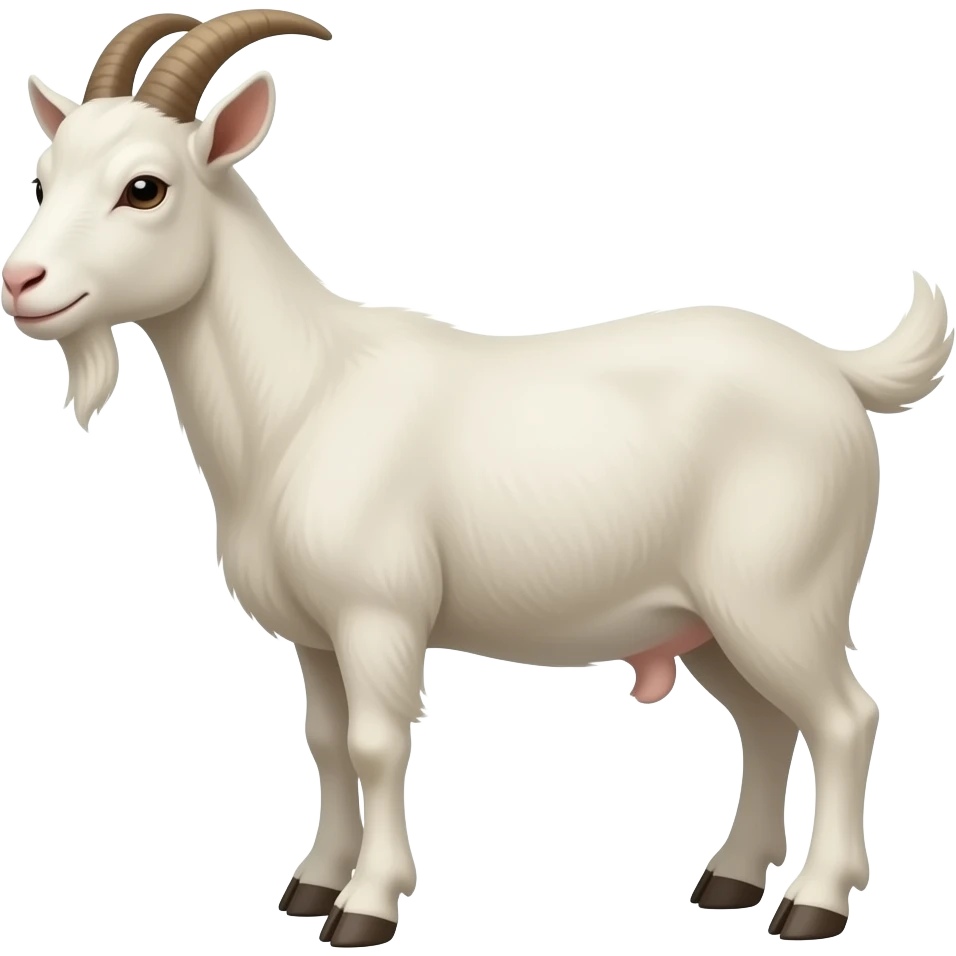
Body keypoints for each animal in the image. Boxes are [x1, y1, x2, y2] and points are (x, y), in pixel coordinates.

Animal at [3, 9, 952, 947]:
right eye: (43, 180)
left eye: (145, 188)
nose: (22, 281)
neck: (304, 394)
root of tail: (836, 371)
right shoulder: (317, 635)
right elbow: (326, 739)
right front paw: (312, 884)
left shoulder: (378, 614)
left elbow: (377, 743)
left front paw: (365, 906)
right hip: (710, 619)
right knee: (766, 723)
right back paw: (730, 880)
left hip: (781, 594)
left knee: (844, 717)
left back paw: (815, 904)